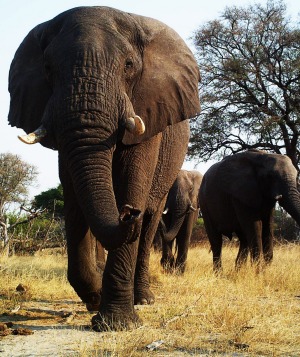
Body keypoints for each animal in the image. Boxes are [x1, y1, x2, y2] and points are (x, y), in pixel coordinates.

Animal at [7, 5, 199, 330]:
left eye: (129, 65)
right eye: (47, 68)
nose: (128, 212)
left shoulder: (149, 111)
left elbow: (133, 178)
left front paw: (117, 324)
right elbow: (73, 193)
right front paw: (95, 300)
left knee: (150, 223)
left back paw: (143, 298)